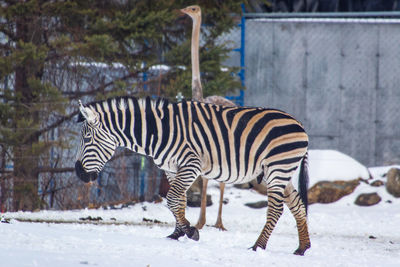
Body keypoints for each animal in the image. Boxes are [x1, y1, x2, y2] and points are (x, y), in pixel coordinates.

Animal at [76, 96, 312, 255]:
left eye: (87, 139)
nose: (78, 173)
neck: (158, 132)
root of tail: (299, 124)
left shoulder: (191, 165)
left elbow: (172, 199)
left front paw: (190, 231)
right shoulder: (172, 170)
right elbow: (178, 202)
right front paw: (177, 234)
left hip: (277, 168)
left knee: (276, 209)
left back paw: (258, 246)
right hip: (283, 172)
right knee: (297, 205)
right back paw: (302, 247)